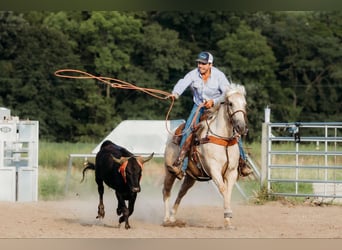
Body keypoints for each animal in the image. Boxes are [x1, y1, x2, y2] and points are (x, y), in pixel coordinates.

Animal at [162, 83, 247, 229]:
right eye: (230, 103)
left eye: (245, 104)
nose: (241, 127)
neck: (223, 139)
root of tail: (173, 134)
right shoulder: (214, 170)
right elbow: (223, 189)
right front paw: (227, 216)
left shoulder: (231, 172)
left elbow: (228, 192)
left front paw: (228, 220)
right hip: (170, 171)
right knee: (166, 190)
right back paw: (167, 219)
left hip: (191, 176)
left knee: (181, 192)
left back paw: (173, 217)